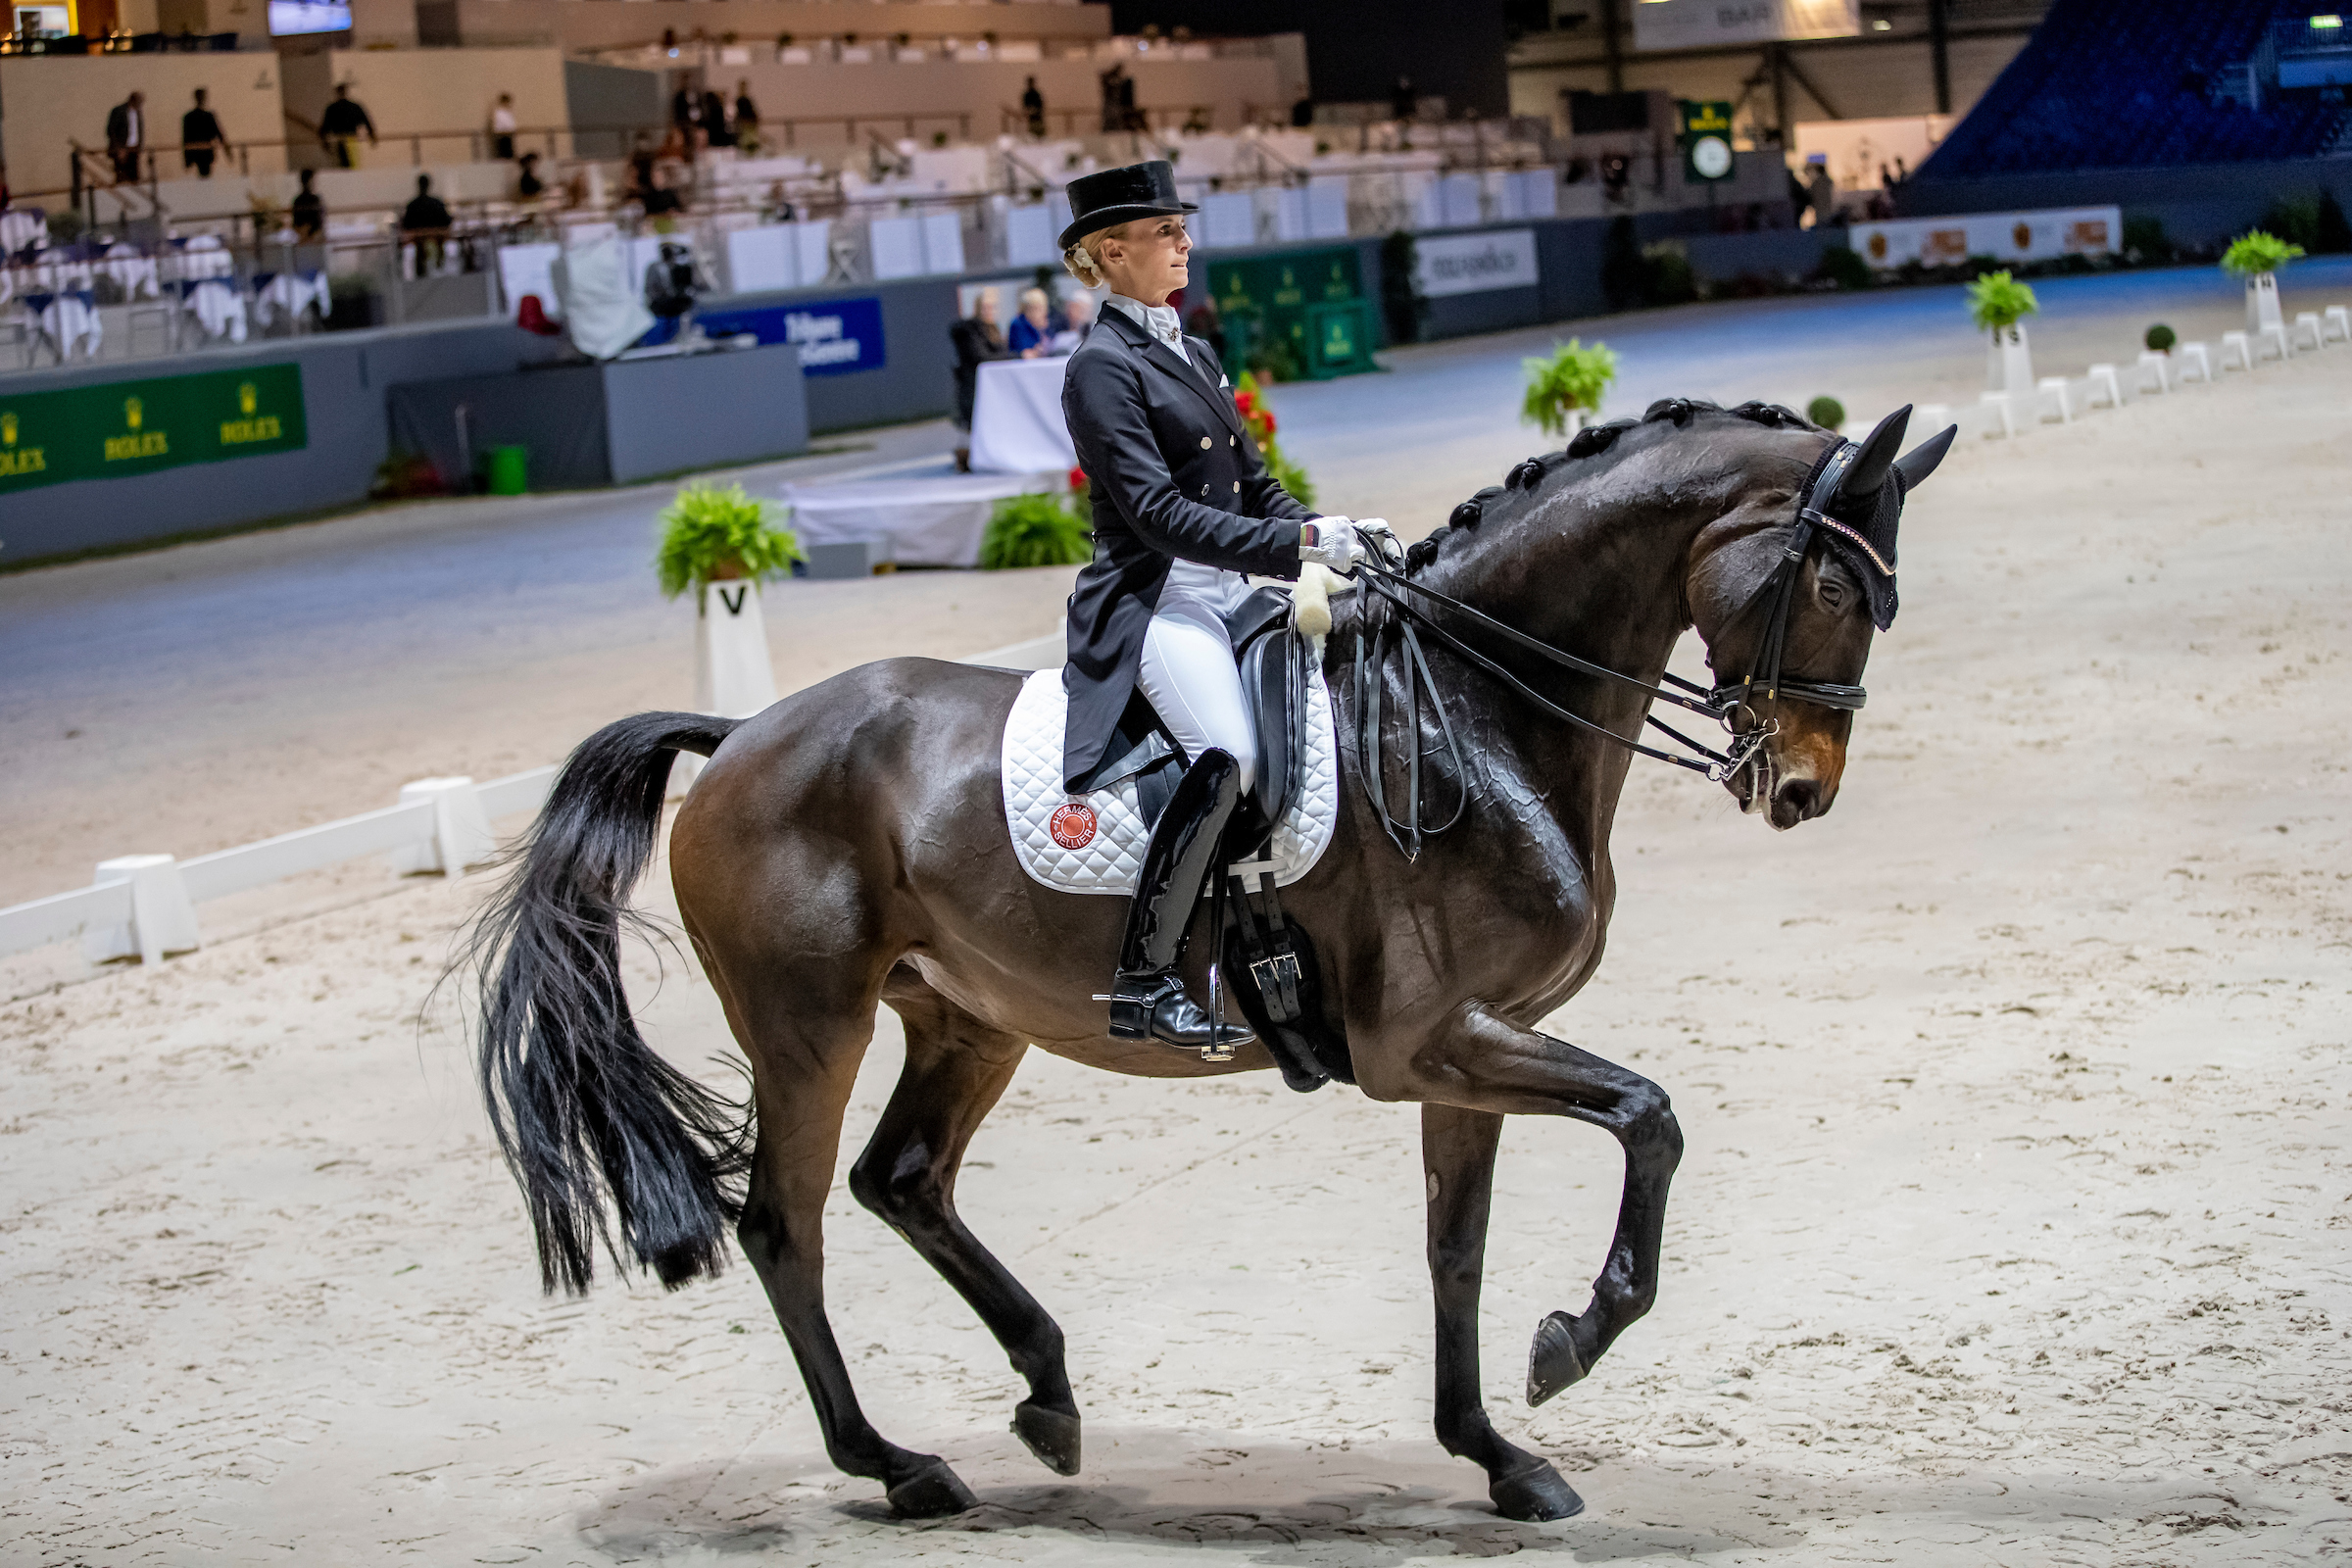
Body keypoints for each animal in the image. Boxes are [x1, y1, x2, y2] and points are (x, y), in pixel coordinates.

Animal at [467, 399, 1956, 1523]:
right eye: (1835, 584)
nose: (1801, 788)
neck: (1474, 714)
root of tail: (741, 736)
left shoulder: (1464, 1053)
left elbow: (1456, 1250)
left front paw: (1498, 1456)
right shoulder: (1430, 1041)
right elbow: (1651, 1118)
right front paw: (1569, 1345)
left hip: (966, 1018)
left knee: (903, 1181)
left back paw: (1049, 1398)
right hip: (808, 1027)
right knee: (788, 1224)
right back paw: (898, 1467)